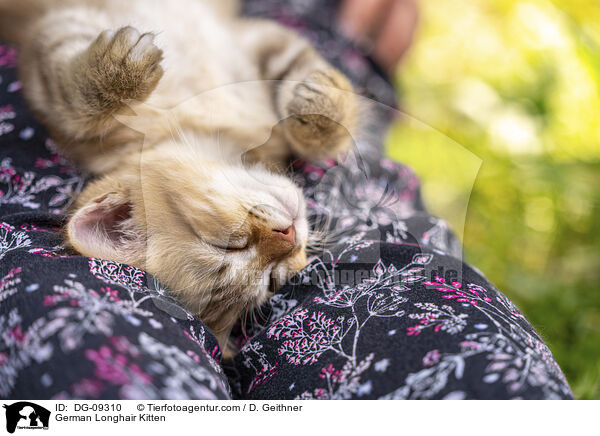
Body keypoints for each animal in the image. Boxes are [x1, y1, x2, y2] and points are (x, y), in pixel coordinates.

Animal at [0, 0, 356, 350]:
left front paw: (320, 109)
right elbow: (70, 97)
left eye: (272, 280)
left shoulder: (250, 42)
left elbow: (301, 72)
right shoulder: (51, 39)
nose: (290, 236)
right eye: (230, 245)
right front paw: (116, 73)